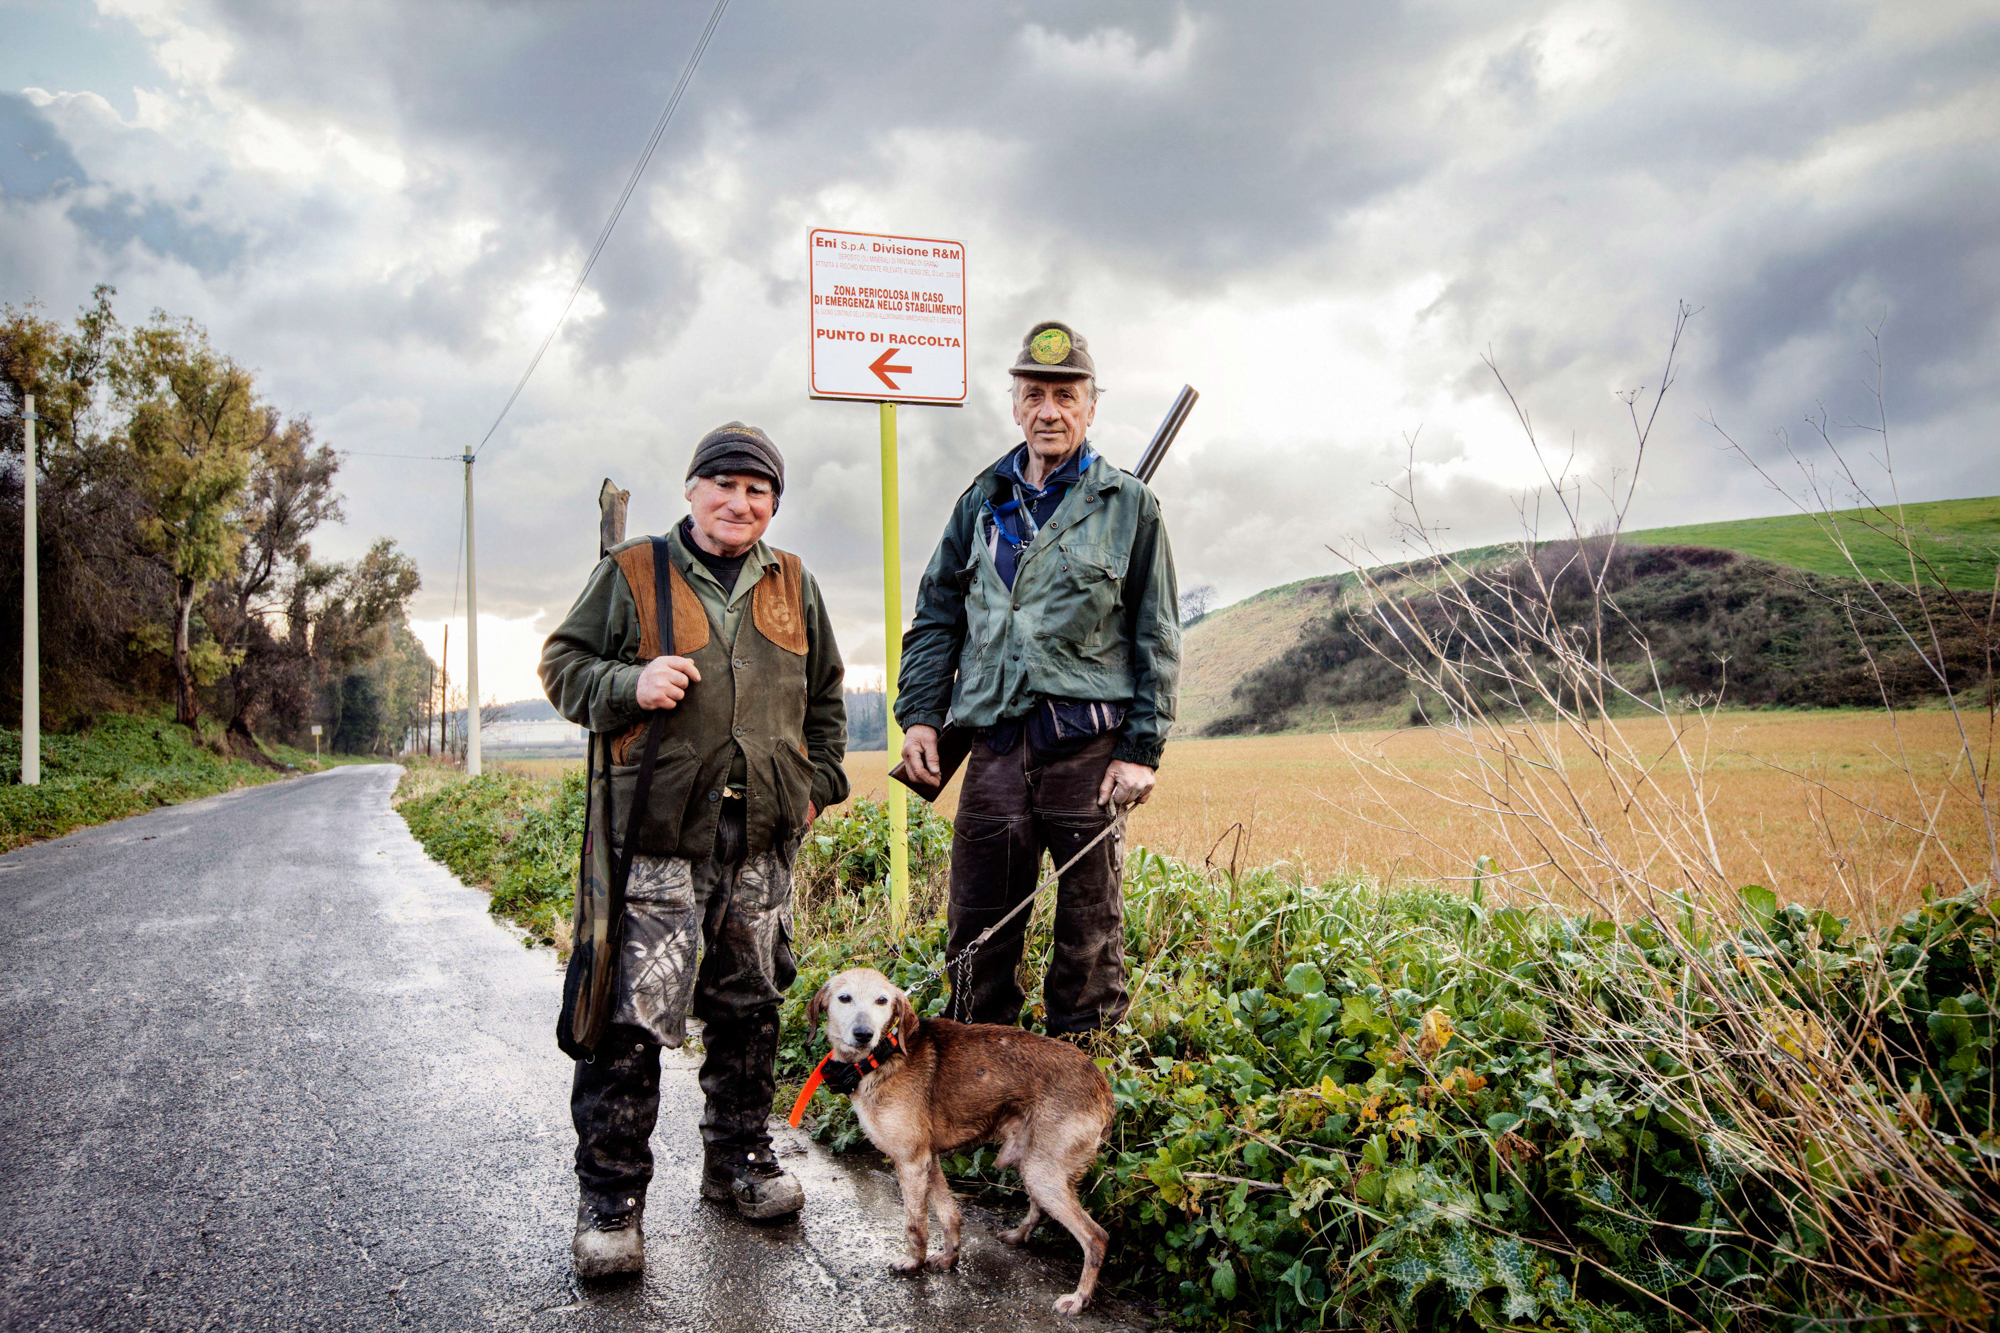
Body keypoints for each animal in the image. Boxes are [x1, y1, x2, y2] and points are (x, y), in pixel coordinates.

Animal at [812, 964, 1128, 1304]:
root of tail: (1103, 1086)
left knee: (1096, 1236)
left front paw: (913, 1262)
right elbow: (948, 1215)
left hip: (1043, 1173)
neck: (881, 1058)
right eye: (844, 998)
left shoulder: (911, 1163)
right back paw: (1019, 1234)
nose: (863, 1034)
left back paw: (1079, 1299)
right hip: (1036, 1165)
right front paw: (950, 1256)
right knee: (1039, 1208)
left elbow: (915, 1225)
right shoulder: (929, 1161)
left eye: (882, 1001)